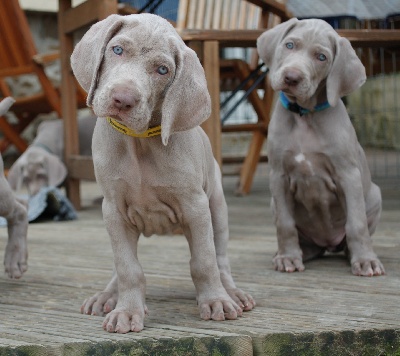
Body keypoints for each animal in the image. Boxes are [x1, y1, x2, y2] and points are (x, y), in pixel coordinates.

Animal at [70, 12, 255, 332]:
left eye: (162, 69)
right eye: (117, 50)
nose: (122, 99)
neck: (139, 143)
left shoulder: (196, 206)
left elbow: (204, 261)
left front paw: (215, 300)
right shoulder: (113, 210)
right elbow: (127, 267)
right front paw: (127, 310)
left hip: (217, 206)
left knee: (220, 257)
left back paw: (231, 292)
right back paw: (108, 295)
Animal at [256, 18, 384, 276]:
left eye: (321, 57)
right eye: (290, 45)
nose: (291, 77)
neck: (305, 115)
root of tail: (328, 244)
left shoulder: (348, 175)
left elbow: (356, 223)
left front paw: (365, 260)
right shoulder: (278, 176)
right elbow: (285, 224)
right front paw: (288, 257)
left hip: (375, 194)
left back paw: (355, 254)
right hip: (275, 203)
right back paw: (300, 253)